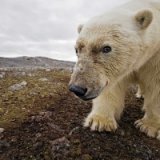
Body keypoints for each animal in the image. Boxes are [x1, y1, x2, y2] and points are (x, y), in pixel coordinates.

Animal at [68, 0, 160, 139]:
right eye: (77, 49)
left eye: (106, 48)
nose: (77, 88)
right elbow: (112, 86)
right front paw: (100, 121)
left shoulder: (155, 58)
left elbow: (156, 86)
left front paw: (149, 126)